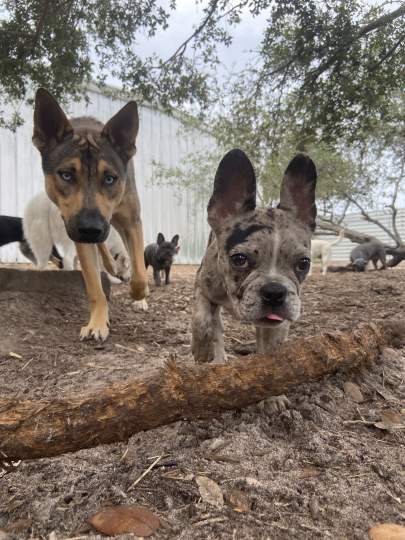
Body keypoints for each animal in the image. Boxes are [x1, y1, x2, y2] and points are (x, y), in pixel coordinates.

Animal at [32, 88, 148, 342]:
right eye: (66, 175)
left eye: (110, 178)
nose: (90, 228)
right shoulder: (76, 227)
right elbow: (95, 286)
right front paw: (97, 322)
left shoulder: (131, 221)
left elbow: (140, 271)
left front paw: (139, 292)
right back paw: (112, 266)